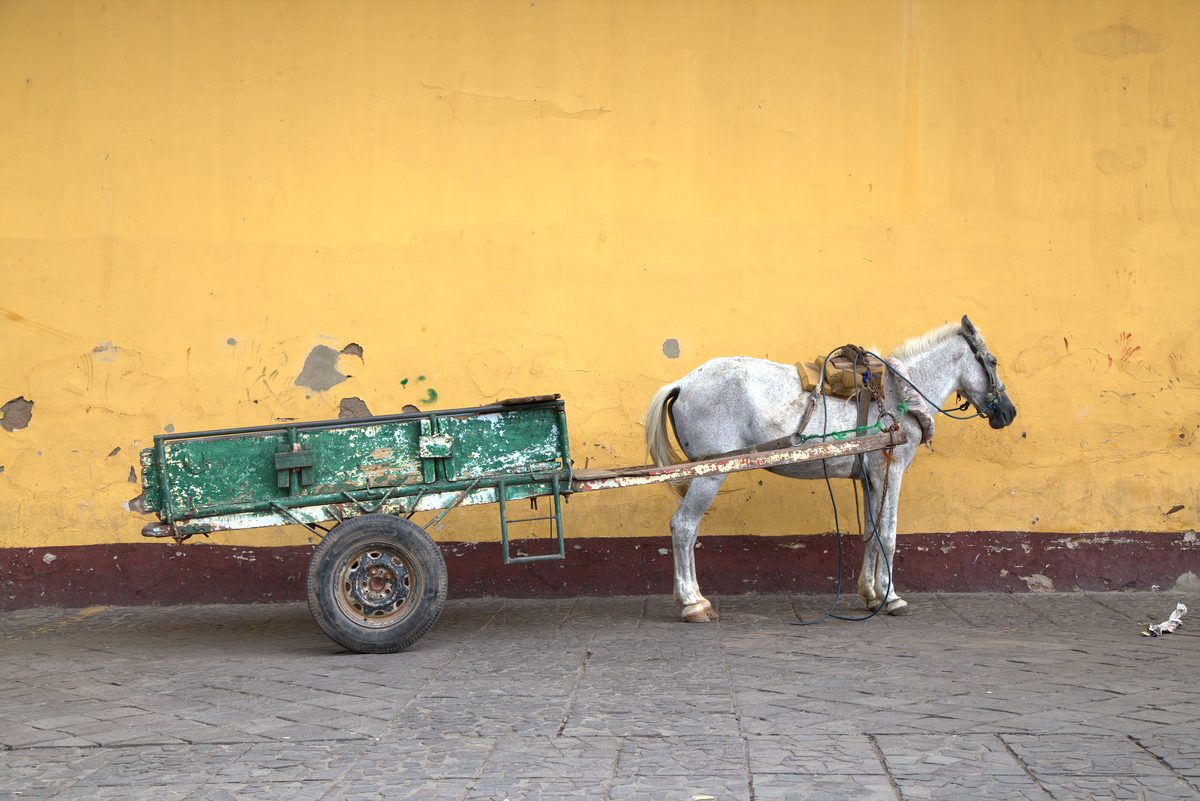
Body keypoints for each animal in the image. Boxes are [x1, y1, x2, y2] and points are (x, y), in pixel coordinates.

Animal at [643, 315, 1017, 622]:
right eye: (993, 361)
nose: (1009, 412)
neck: (899, 395)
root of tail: (681, 383)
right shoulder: (891, 471)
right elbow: (890, 535)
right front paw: (891, 597)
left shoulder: (870, 477)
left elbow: (872, 532)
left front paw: (871, 595)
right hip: (711, 473)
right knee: (684, 527)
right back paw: (693, 603)